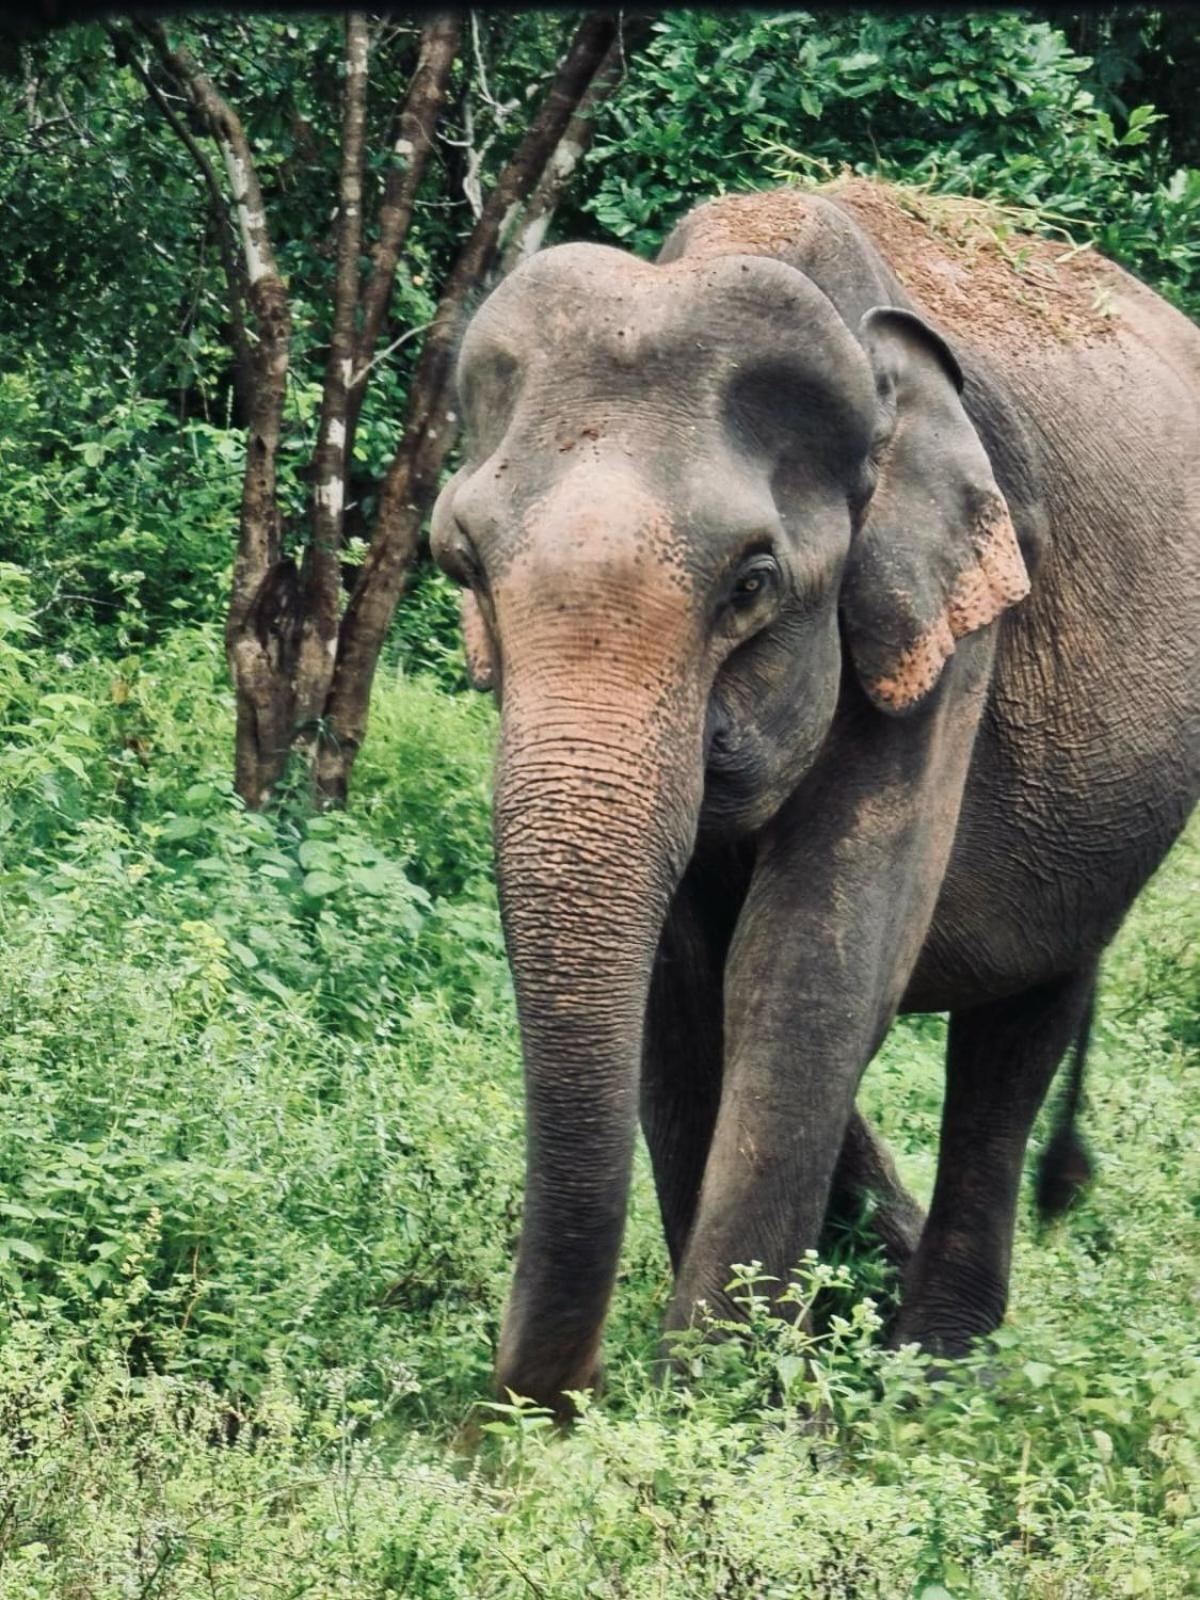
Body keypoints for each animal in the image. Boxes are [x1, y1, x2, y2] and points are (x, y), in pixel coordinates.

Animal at [432, 181, 1200, 1420]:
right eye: (462, 565)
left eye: (752, 583)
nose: (540, 1409)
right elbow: (683, 980)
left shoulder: (949, 627)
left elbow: (808, 968)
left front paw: (711, 1411)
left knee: (1019, 1024)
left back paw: (936, 1370)